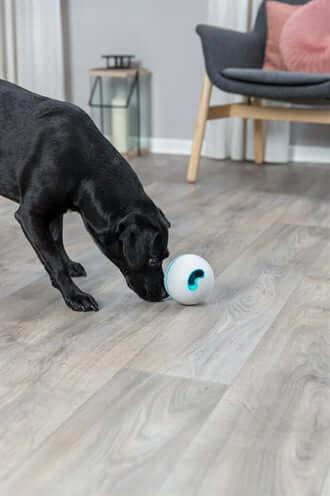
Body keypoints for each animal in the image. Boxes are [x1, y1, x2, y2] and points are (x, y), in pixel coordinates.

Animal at [0, 78, 170, 310]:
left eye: (166, 255)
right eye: (152, 259)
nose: (164, 294)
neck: (85, 165)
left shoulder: (55, 210)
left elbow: (57, 242)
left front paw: (69, 265)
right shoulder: (30, 215)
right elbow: (52, 259)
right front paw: (74, 295)